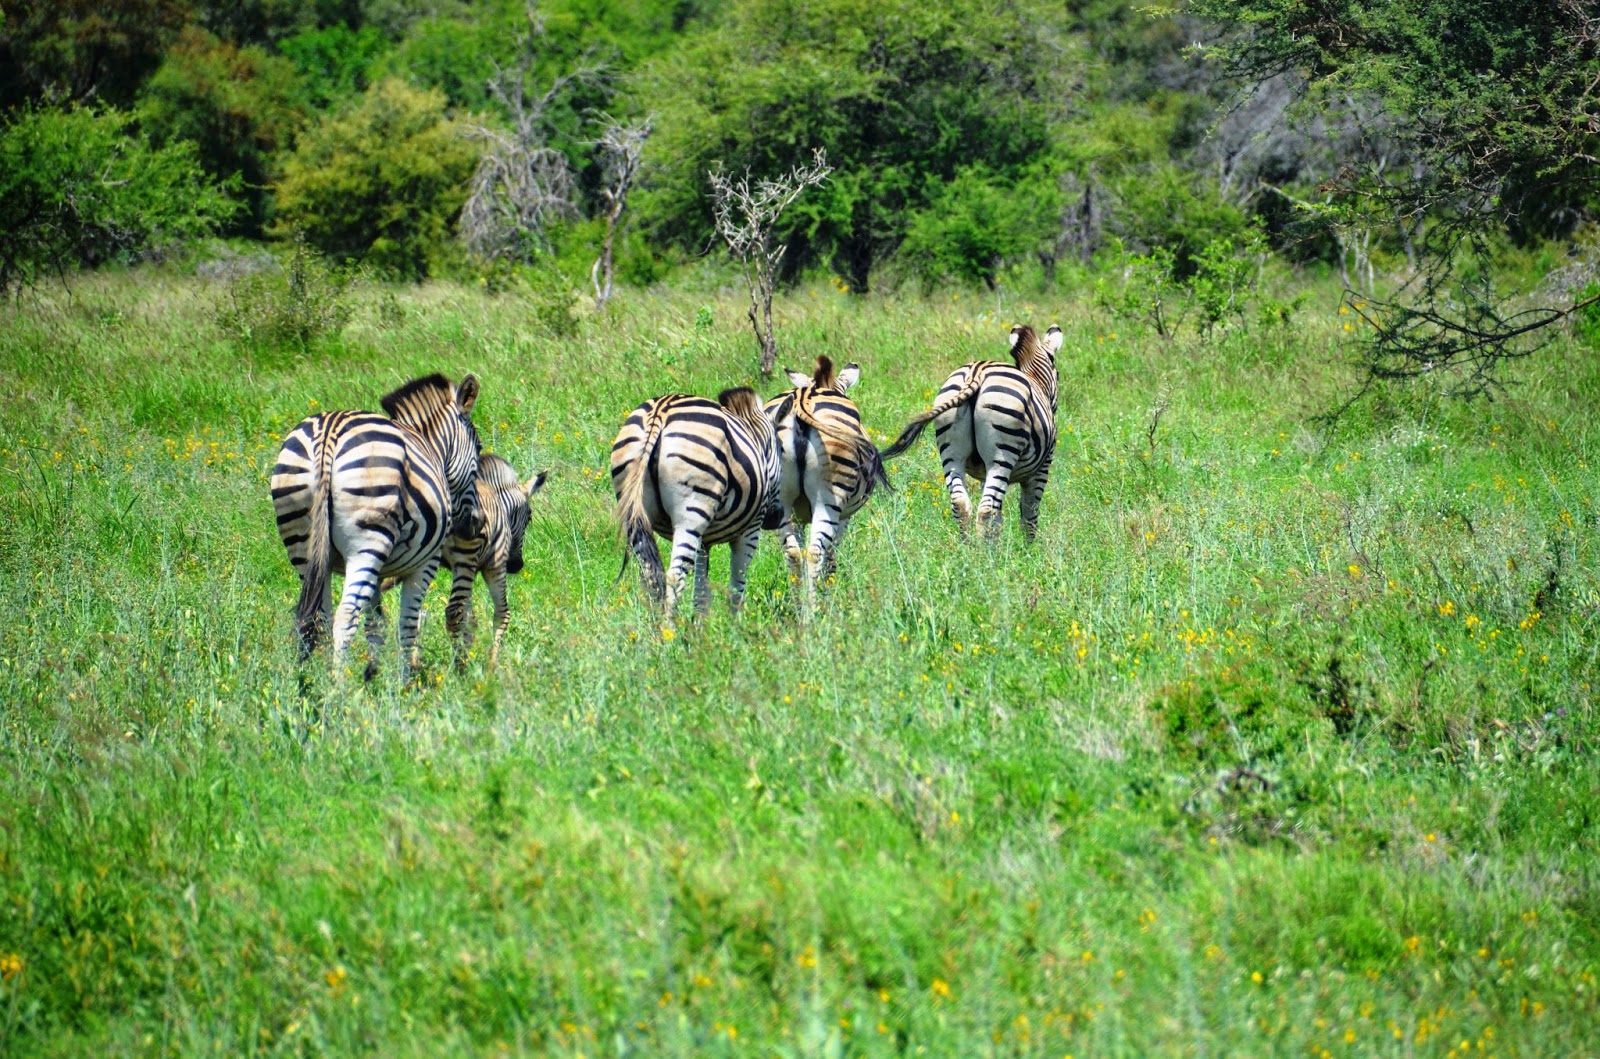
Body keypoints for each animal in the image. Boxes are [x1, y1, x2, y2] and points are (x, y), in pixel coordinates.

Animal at [271, 373, 483, 677]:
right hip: (368, 543)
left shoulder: (380, 571)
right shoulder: (425, 563)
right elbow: (407, 622)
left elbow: (376, 624)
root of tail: (328, 433)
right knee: (345, 617)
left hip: (302, 541)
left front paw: (373, 674)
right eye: (479, 449)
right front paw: (406, 680)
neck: (432, 447)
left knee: (319, 617)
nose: (475, 524)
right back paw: (338, 684)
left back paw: (318, 679)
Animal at [611, 387, 781, 619]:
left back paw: (654, 628)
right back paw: (669, 628)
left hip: (634, 513)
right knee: (674, 576)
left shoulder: (704, 541)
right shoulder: (750, 531)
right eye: (780, 450)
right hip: (691, 512)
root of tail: (659, 413)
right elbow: (737, 587)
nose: (775, 518)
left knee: (651, 576)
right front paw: (736, 626)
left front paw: (700, 625)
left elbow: (701, 592)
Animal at [764, 355, 890, 602]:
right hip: (830, 497)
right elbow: (831, 556)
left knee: (793, 553)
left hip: (781, 500)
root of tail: (802, 402)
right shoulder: (844, 516)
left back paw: (799, 606)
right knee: (815, 552)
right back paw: (814, 608)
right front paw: (828, 590)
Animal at [881, 324, 1063, 540]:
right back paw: (987, 550)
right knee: (987, 509)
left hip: (952, 451)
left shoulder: (984, 473)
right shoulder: (1043, 466)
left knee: (961, 503)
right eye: (1058, 375)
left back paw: (968, 548)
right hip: (1002, 455)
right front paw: (1030, 548)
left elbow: (1000, 517)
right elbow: (1029, 513)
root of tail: (977, 372)